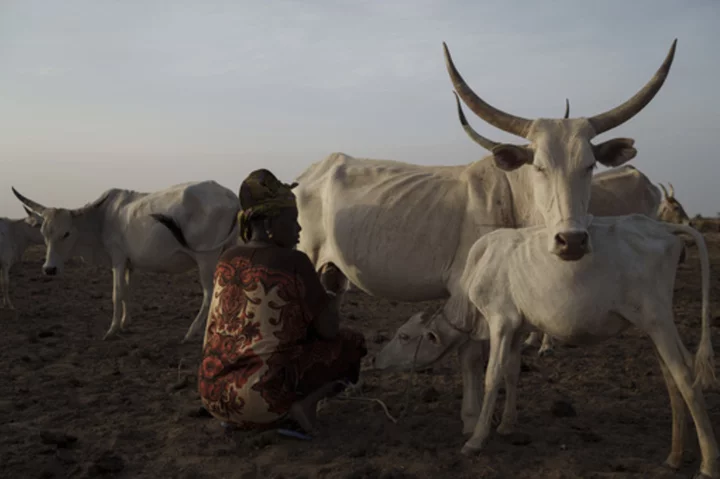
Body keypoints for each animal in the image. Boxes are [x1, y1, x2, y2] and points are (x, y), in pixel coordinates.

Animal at [10, 182, 239, 344]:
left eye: (66, 233)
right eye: (44, 233)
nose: (49, 269)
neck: (101, 219)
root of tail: (231, 196)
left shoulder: (118, 260)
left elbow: (117, 293)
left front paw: (112, 329)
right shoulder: (131, 264)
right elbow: (128, 292)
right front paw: (124, 323)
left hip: (206, 259)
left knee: (210, 294)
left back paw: (191, 332)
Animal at [374, 215, 716, 479]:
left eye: (404, 336)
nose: (377, 360)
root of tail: (663, 227)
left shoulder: (500, 321)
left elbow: (492, 376)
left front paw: (476, 439)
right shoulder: (518, 327)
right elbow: (511, 372)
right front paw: (507, 425)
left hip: (658, 319)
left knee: (685, 377)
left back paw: (708, 464)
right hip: (652, 325)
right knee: (673, 377)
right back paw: (674, 457)